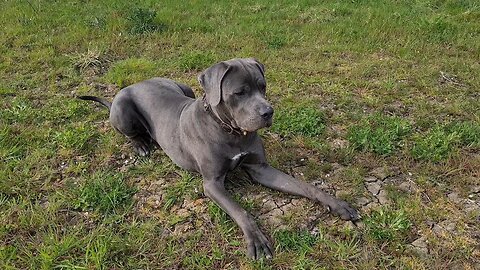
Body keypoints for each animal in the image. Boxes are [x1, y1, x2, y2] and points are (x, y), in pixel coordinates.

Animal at [79, 58, 358, 258]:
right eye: (240, 92)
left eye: (263, 86)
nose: (268, 112)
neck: (229, 130)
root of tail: (135, 84)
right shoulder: (212, 183)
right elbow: (240, 210)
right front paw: (256, 240)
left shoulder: (261, 168)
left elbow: (305, 186)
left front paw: (337, 204)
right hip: (122, 110)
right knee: (130, 132)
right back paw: (141, 145)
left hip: (184, 87)